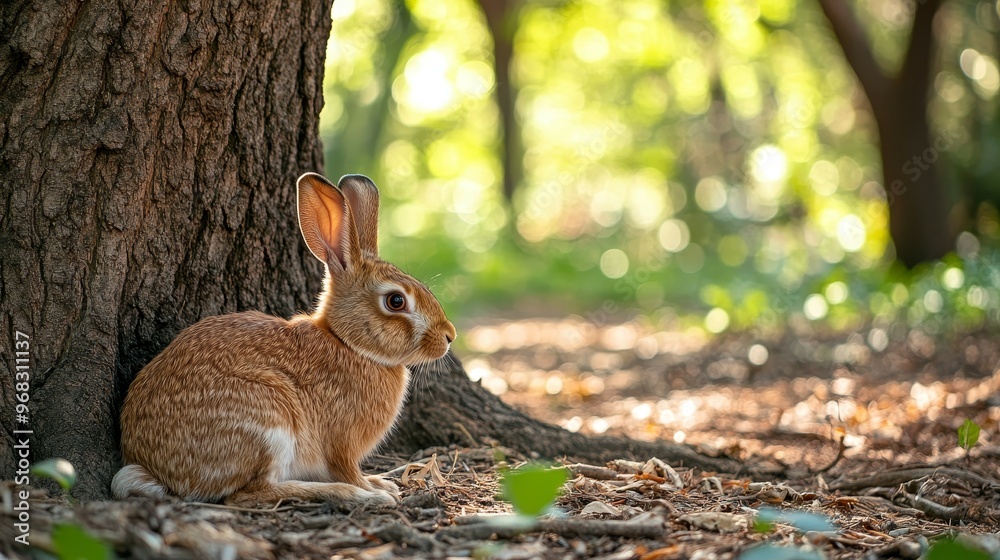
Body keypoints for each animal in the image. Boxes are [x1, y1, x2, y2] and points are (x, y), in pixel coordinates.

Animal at [111, 172, 456, 508]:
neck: (348, 343)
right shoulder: (341, 444)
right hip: (267, 420)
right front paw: (373, 489)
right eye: (396, 301)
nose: (449, 336)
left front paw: (381, 482)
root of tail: (155, 469)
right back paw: (352, 495)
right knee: (248, 495)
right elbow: (348, 469)